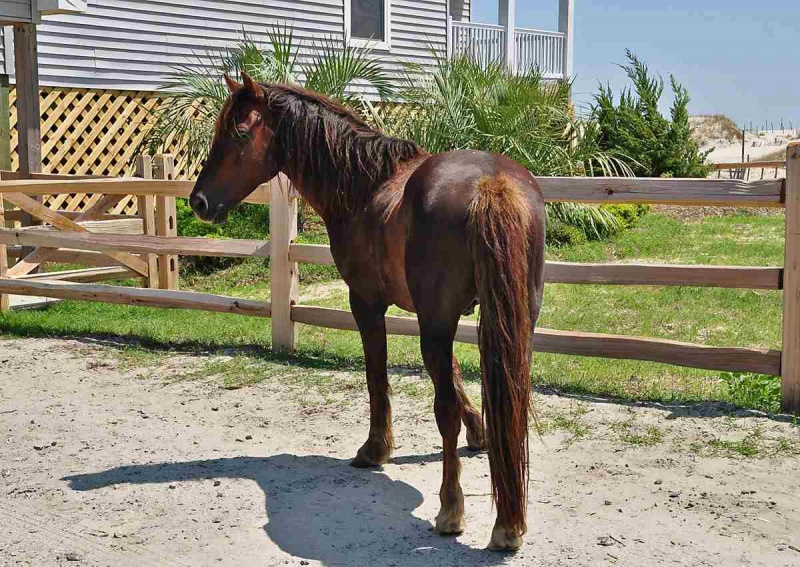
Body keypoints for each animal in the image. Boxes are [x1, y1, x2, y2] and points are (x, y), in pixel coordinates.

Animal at [191, 72, 548, 552]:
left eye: (240, 132)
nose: (199, 202)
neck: (367, 187)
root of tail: (491, 185)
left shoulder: (368, 304)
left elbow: (377, 377)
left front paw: (375, 449)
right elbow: (457, 374)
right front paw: (480, 432)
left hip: (437, 323)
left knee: (443, 413)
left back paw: (451, 510)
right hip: (510, 322)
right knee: (511, 398)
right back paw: (509, 521)